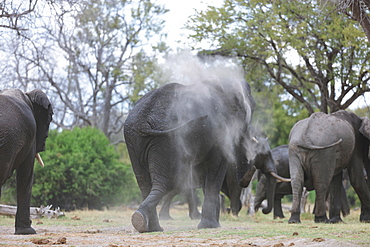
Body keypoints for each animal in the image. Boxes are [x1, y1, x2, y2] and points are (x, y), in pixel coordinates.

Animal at [123, 80, 286, 233]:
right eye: (265, 155)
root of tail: (143, 120)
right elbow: (217, 170)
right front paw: (211, 226)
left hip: (134, 138)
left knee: (145, 183)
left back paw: (148, 226)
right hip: (168, 140)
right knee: (166, 183)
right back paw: (146, 222)